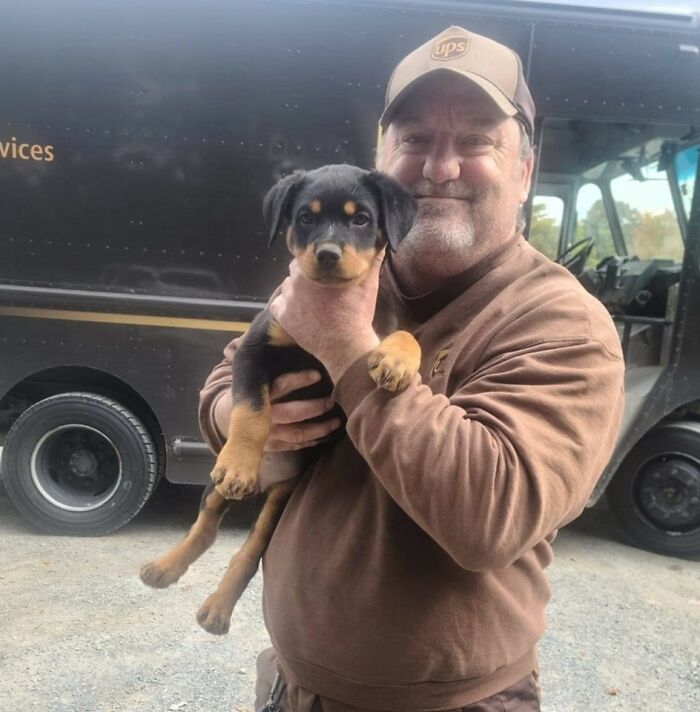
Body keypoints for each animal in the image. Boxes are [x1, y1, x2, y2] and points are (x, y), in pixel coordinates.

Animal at [140, 164, 420, 634]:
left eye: (361, 219)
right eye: (305, 217)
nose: (327, 254)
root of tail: (266, 483)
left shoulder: (373, 330)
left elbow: (405, 334)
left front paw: (397, 362)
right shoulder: (256, 350)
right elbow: (252, 412)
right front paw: (239, 463)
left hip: (281, 498)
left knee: (248, 550)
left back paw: (217, 609)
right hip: (218, 486)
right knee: (206, 525)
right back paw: (164, 567)